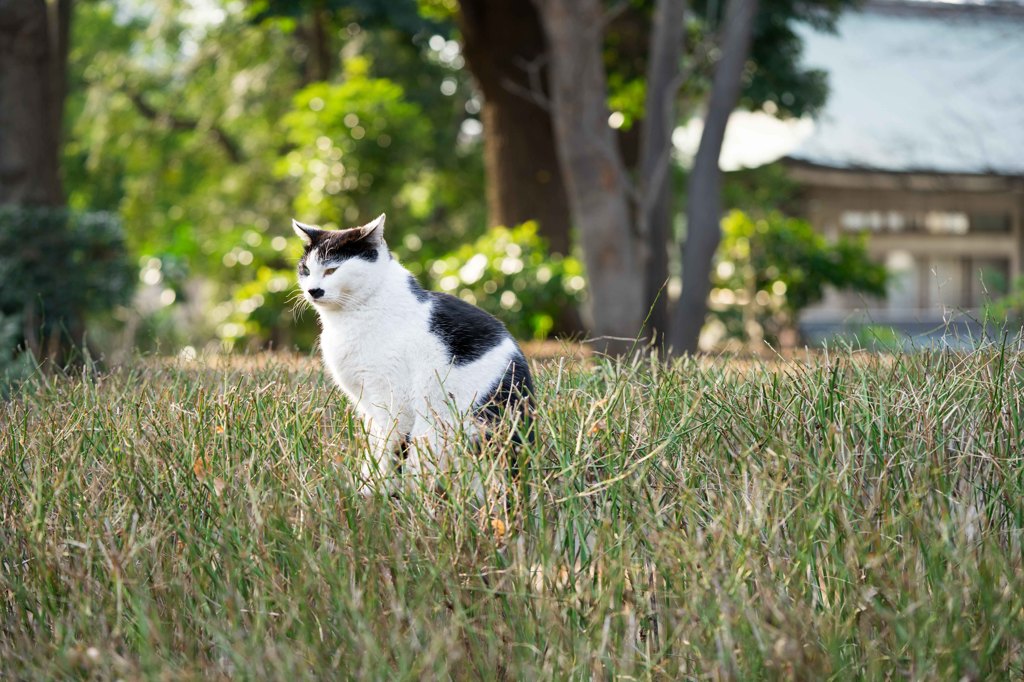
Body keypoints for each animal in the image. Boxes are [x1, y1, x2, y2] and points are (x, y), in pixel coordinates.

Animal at [294, 210, 536, 489]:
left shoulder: (391, 399)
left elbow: (386, 447)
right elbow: (374, 445)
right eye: (306, 270)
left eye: (332, 269)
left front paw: (374, 489)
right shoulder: (366, 404)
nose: (313, 290)